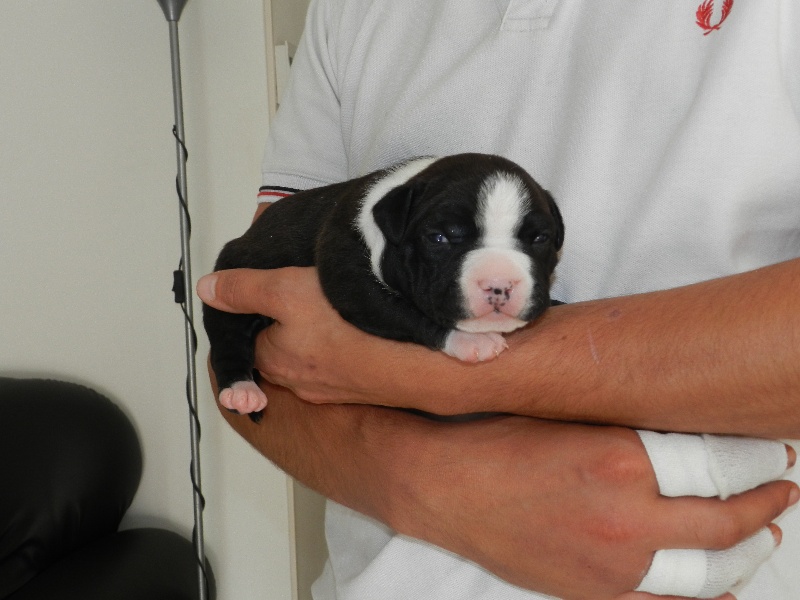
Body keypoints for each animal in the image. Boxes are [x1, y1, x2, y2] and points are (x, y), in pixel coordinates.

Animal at [203, 153, 564, 422]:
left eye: (540, 239)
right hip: (229, 277)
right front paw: (470, 340)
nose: (499, 284)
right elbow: (408, 314)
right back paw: (241, 390)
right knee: (227, 335)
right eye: (439, 238)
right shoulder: (356, 288)